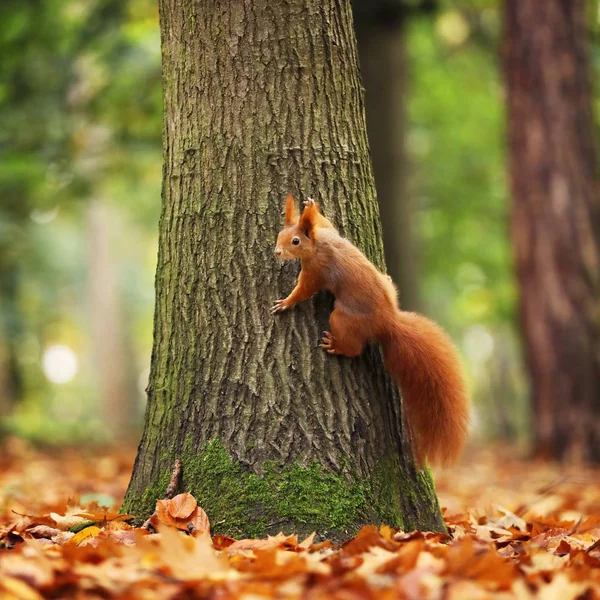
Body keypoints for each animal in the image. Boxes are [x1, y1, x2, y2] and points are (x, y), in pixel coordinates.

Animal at [272, 195, 468, 466]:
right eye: (279, 234)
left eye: (295, 241)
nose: (277, 252)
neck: (318, 243)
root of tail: (389, 322)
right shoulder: (328, 232)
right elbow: (328, 223)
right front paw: (312, 205)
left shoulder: (316, 270)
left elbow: (304, 290)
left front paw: (286, 302)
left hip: (342, 319)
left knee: (354, 348)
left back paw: (335, 346)